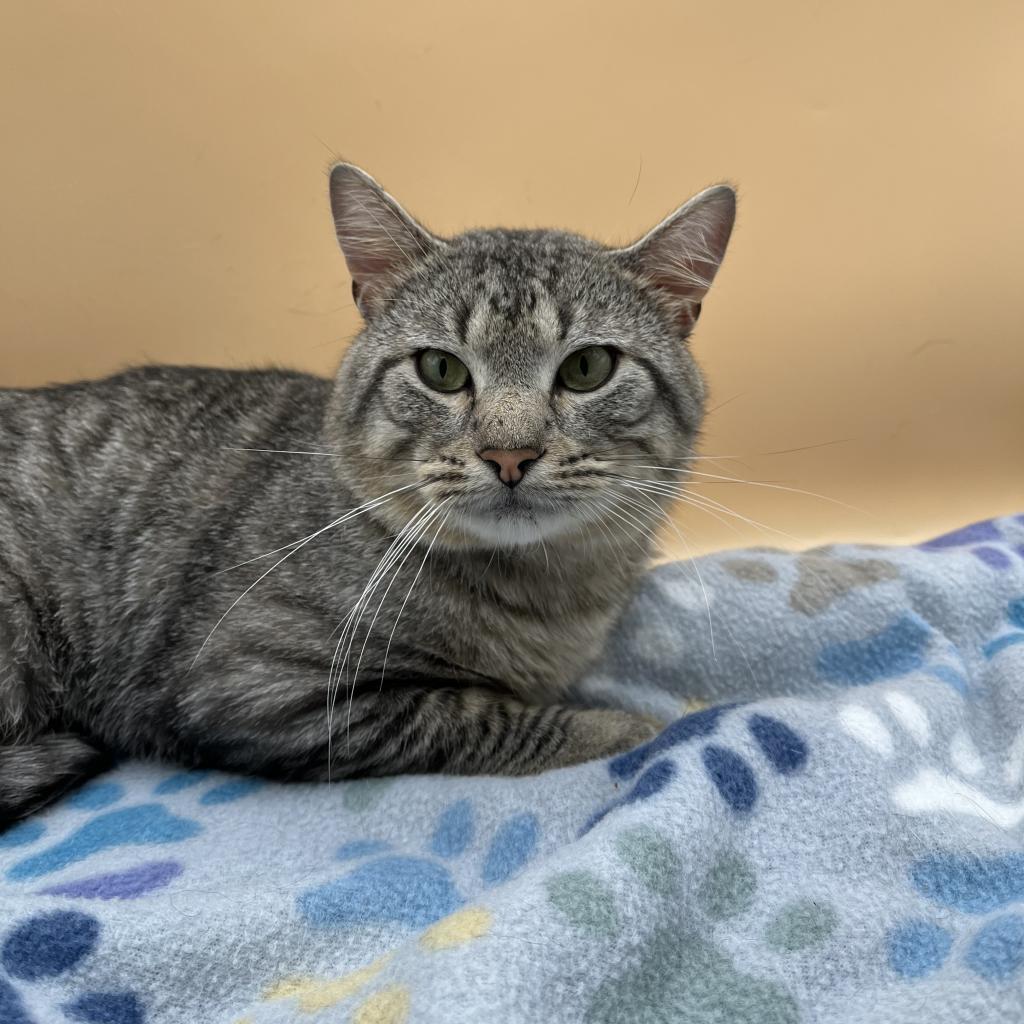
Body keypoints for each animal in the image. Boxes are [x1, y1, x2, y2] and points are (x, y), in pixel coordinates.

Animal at [0, 163, 737, 827]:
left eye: (587, 368)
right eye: (440, 369)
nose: (510, 452)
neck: (546, 596)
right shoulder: (258, 686)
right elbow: (479, 714)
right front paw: (630, 727)